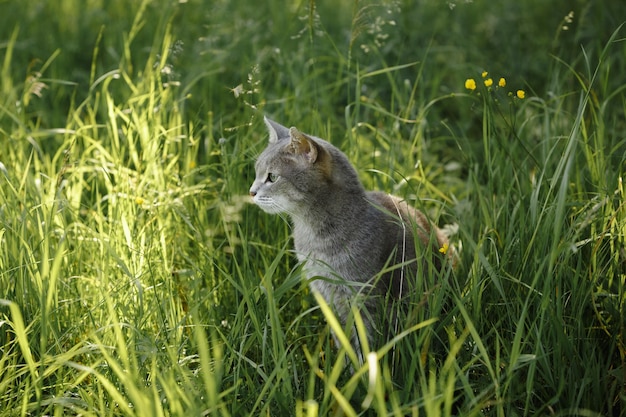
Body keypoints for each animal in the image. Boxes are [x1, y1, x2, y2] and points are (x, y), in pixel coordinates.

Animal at [247, 118, 448, 360]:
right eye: (256, 173)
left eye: (272, 177)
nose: (251, 192)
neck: (314, 238)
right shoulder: (325, 295)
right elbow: (342, 338)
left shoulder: (363, 298)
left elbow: (365, 342)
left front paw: (364, 369)